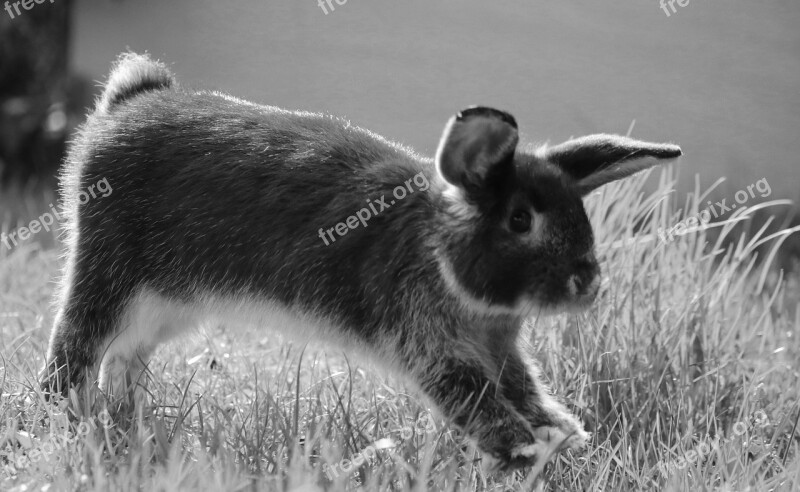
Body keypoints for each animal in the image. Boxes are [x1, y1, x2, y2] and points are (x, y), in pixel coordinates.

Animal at [42, 52, 680, 470]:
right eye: (520, 220)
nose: (588, 283)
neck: (436, 247)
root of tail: (125, 105)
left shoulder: (498, 349)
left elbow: (521, 387)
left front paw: (564, 435)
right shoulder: (433, 347)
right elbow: (475, 397)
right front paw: (524, 448)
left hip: (165, 304)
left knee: (123, 357)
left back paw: (126, 420)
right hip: (110, 274)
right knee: (76, 345)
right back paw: (66, 420)